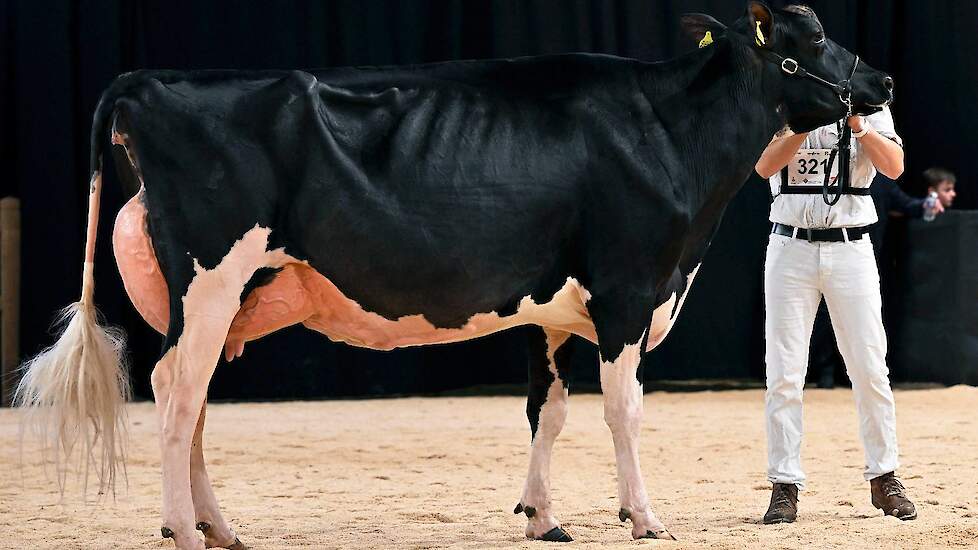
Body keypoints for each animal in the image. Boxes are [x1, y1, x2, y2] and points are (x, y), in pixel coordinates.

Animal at [17, 3, 892, 548]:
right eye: (812, 36)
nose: (880, 82)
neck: (668, 132)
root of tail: (149, 83)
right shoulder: (625, 292)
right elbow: (624, 412)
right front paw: (643, 516)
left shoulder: (552, 310)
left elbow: (549, 411)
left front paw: (542, 517)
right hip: (208, 279)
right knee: (173, 394)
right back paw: (188, 532)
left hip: (219, 299)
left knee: (191, 399)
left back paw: (221, 528)